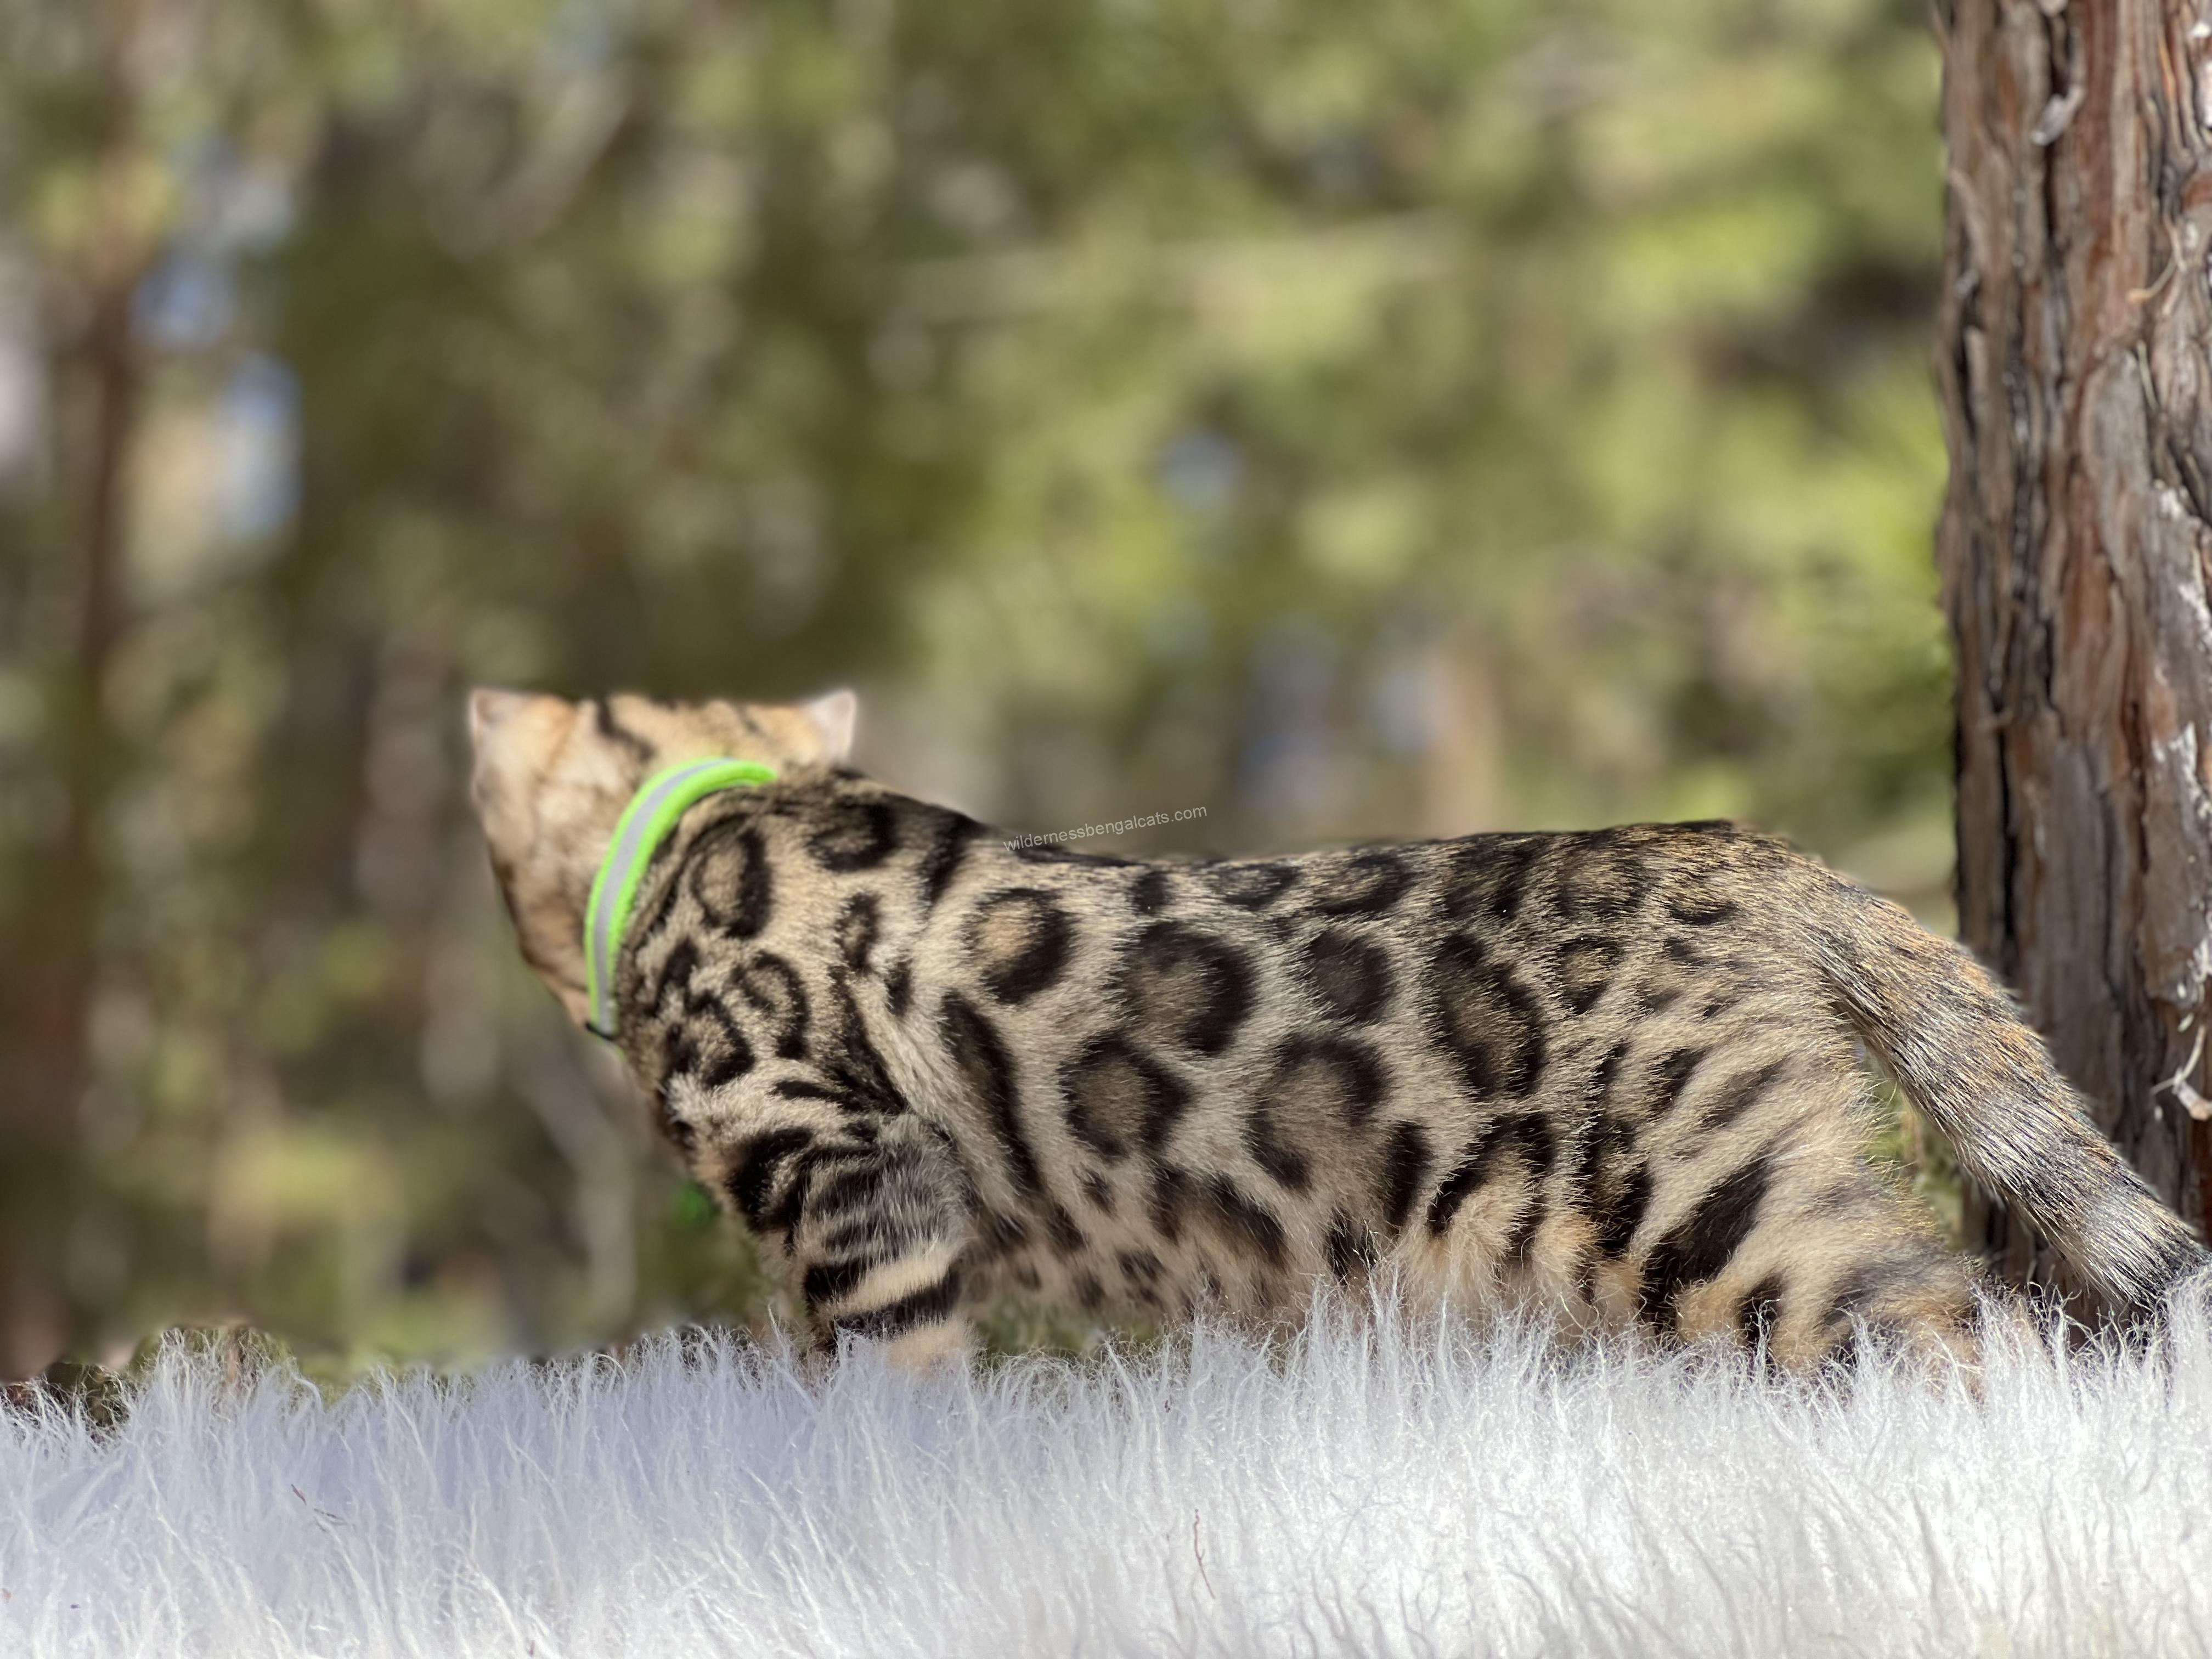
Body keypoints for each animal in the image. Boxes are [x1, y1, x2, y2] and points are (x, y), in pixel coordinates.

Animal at [467, 686, 2204, 1374]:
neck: (712, 817)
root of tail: (1743, 851)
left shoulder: (840, 1163)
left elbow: (886, 1371)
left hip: (1711, 1200)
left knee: (1952, 1322)